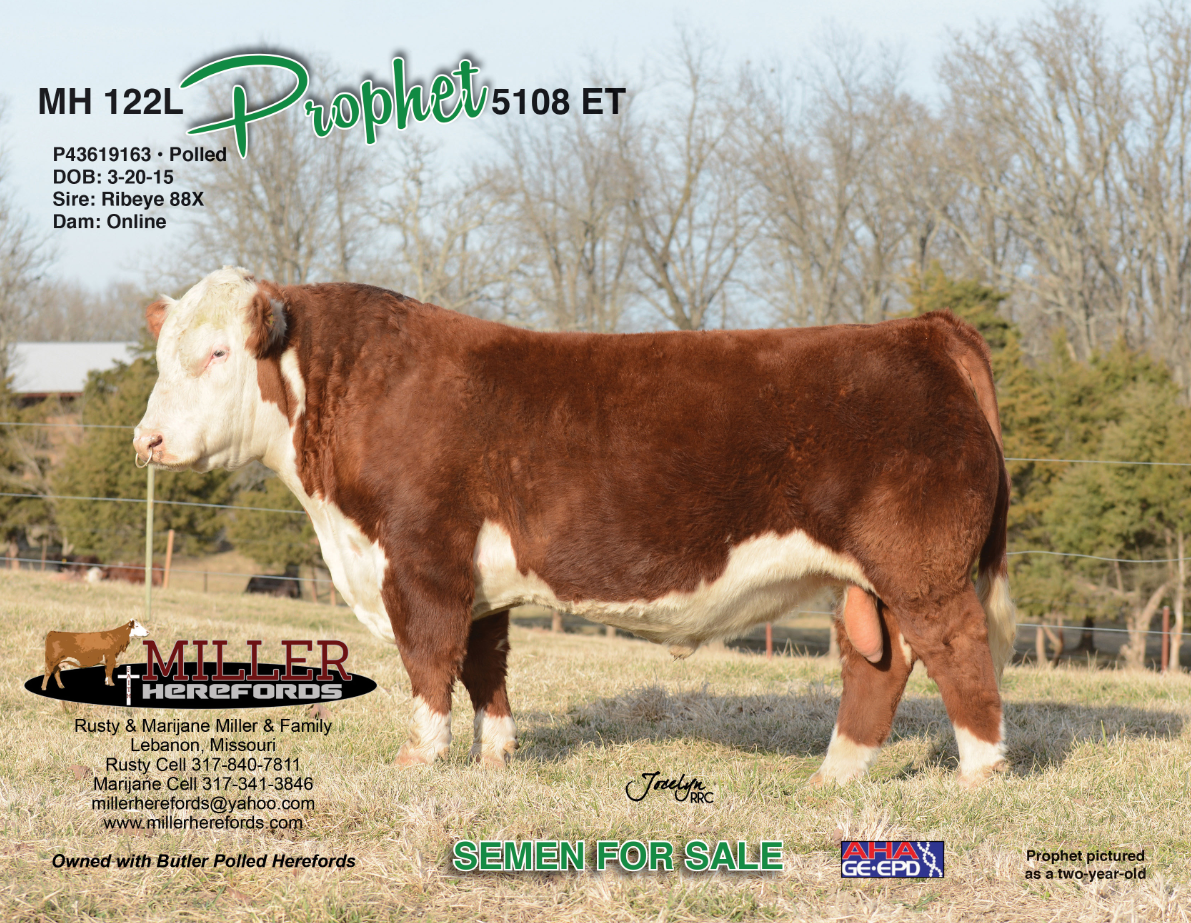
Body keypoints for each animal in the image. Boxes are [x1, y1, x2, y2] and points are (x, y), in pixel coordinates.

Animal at [133, 267, 1017, 785]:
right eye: (164, 355)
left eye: (217, 353)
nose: (148, 439)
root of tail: (923, 328)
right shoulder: (477, 581)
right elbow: (484, 665)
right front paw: (495, 757)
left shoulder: (421, 560)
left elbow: (429, 659)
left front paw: (420, 757)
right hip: (870, 580)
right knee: (878, 663)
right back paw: (835, 774)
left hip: (923, 566)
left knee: (957, 649)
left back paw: (977, 773)